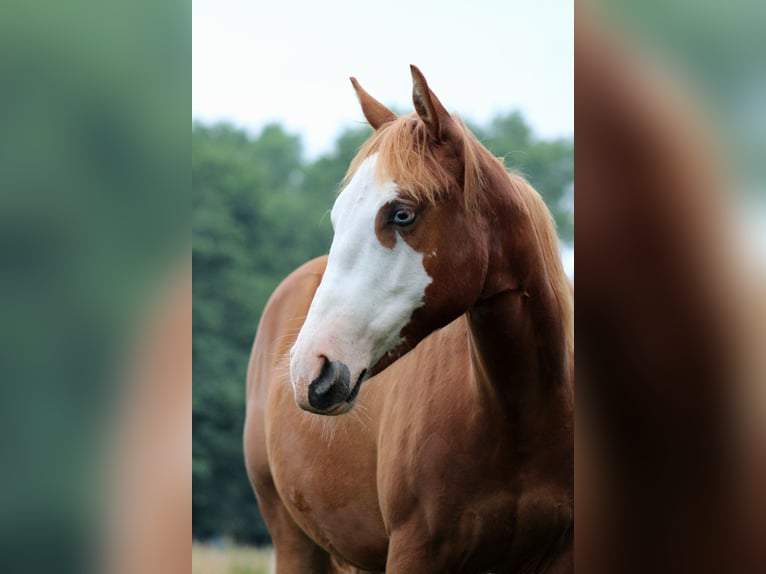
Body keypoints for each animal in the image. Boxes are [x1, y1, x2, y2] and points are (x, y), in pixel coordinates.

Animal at [244, 65, 573, 573]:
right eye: (339, 218)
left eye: (401, 214)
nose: (310, 371)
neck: (518, 414)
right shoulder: (415, 550)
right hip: (293, 540)